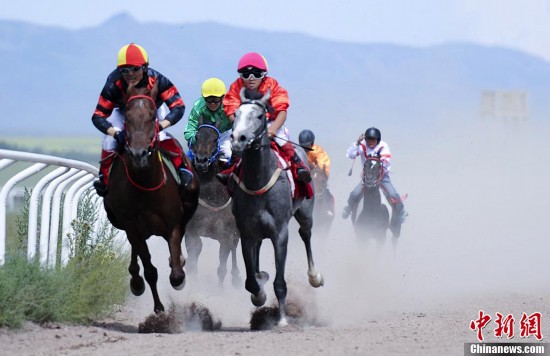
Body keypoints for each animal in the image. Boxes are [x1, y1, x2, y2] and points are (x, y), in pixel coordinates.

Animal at [102, 82, 201, 312]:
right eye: (128, 117)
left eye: (153, 115)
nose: (139, 154)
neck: (146, 186)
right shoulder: (131, 224)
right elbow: (149, 269)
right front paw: (158, 307)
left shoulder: (172, 222)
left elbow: (176, 272)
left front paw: (179, 273)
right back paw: (135, 280)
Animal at [187, 119, 240, 286]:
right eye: (196, 137)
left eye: (215, 139)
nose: (201, 161)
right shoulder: (191, 231)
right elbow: (193, 257)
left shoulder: (226, 235)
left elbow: (222, 268)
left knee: (235, 247)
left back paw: (236, 277)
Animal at [229, 87, 324, 326]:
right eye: (236, 114)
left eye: (259, 116)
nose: (238, 139)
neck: (258, 181)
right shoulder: (246, 232)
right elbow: (250, 280)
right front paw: (259, 293)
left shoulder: (280, 232)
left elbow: (280, 282)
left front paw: (282, 319)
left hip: (306, 213)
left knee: (306, 234)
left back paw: (314, 276)